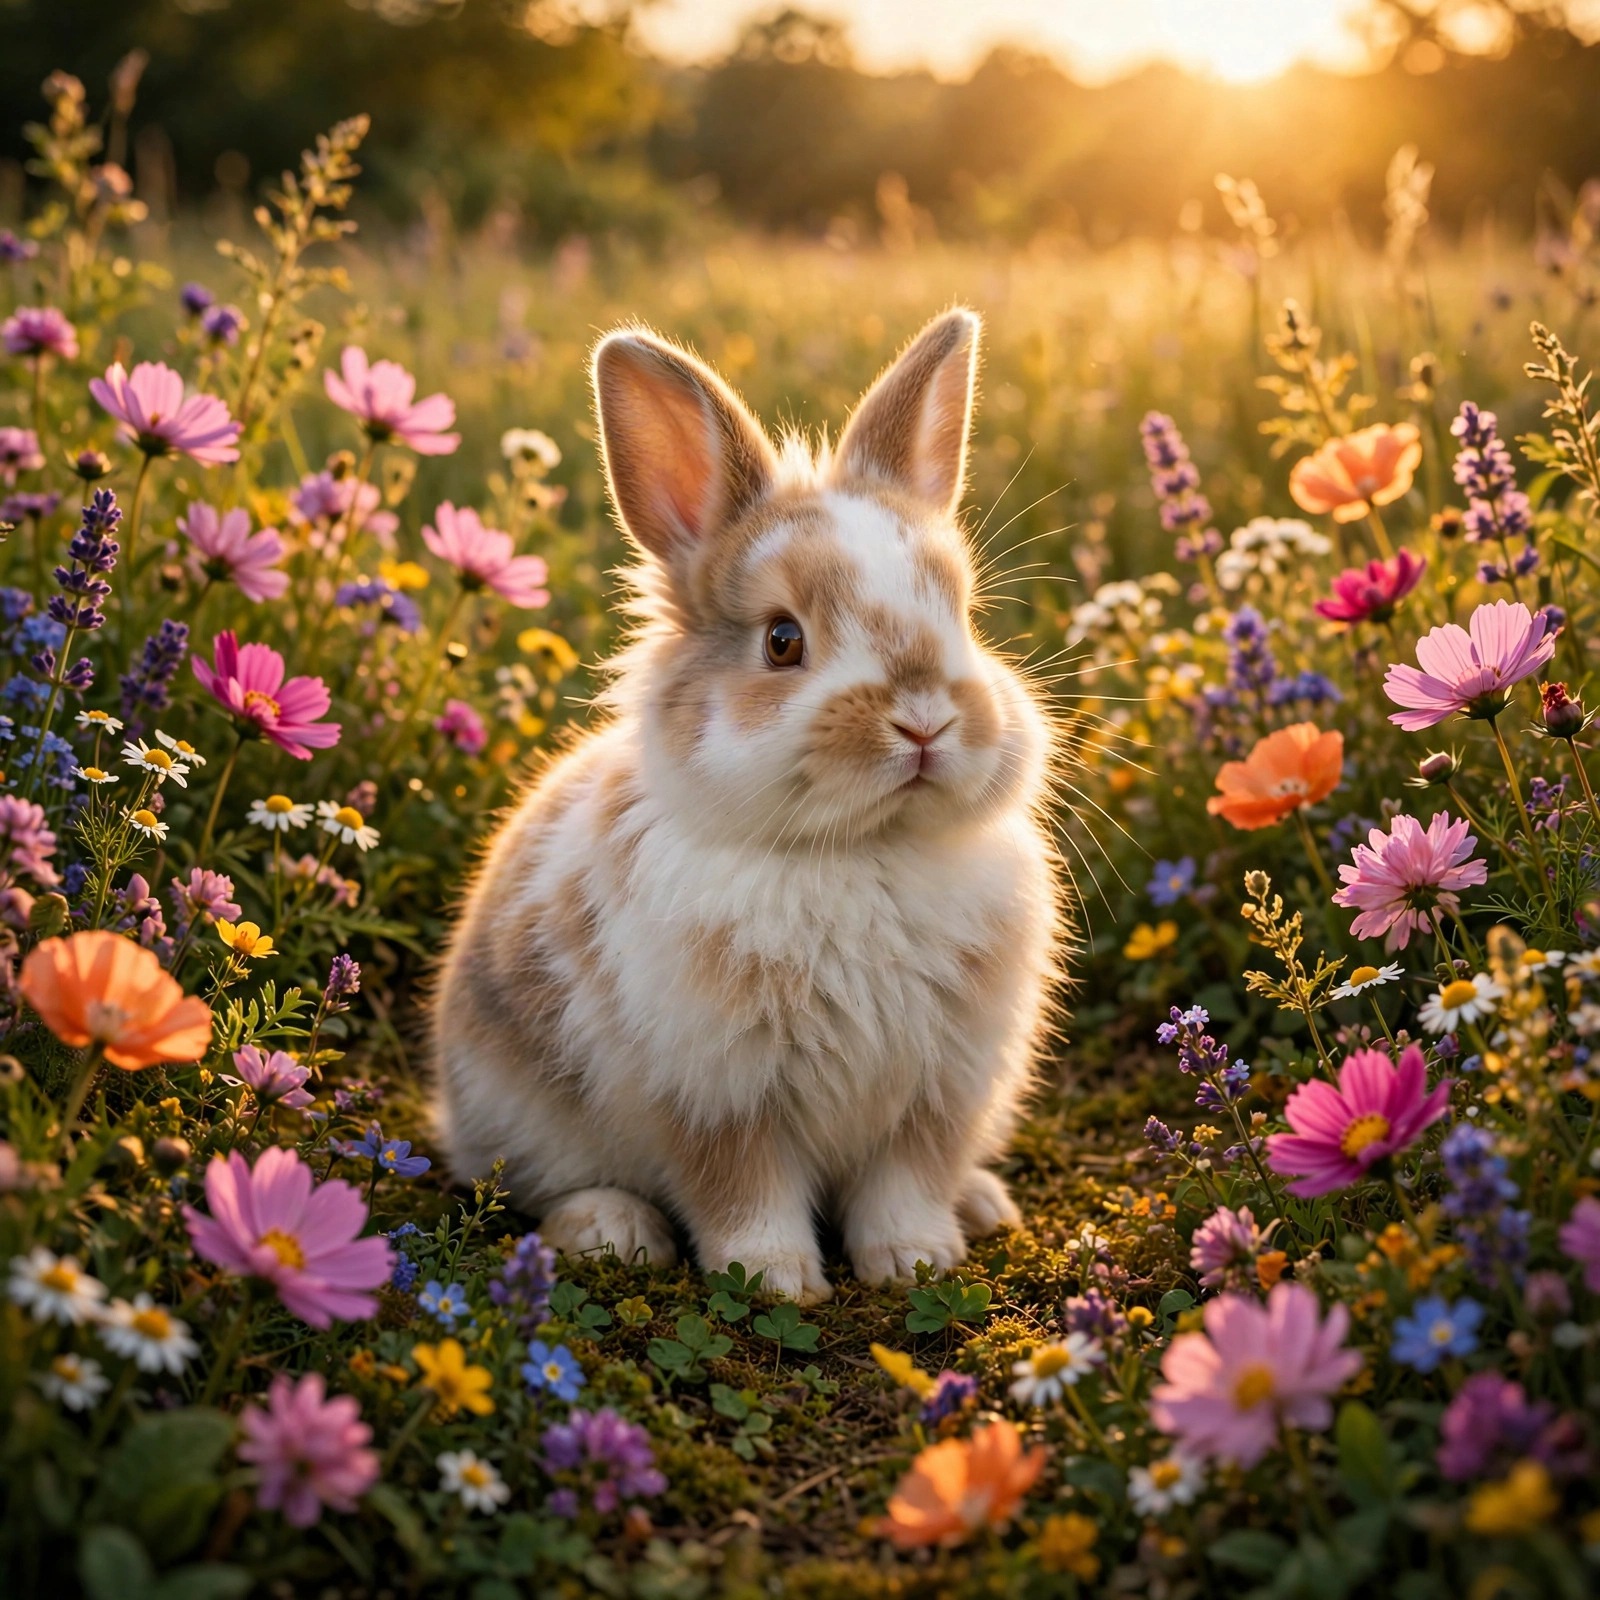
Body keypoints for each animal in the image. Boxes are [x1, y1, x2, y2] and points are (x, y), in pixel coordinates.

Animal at [430, 307, 1063, 1303]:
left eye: (962, 617)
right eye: (782, 641)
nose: (924, 720)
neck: (860, 853)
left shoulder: (938, 1092)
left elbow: (907, 1185)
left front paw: (915, 1264)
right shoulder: (715, 1093)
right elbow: (742, 1192)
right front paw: (776, 1281)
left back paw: (983, 1205)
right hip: (518, 1118)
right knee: (537, 1188)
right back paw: (613, 1232)